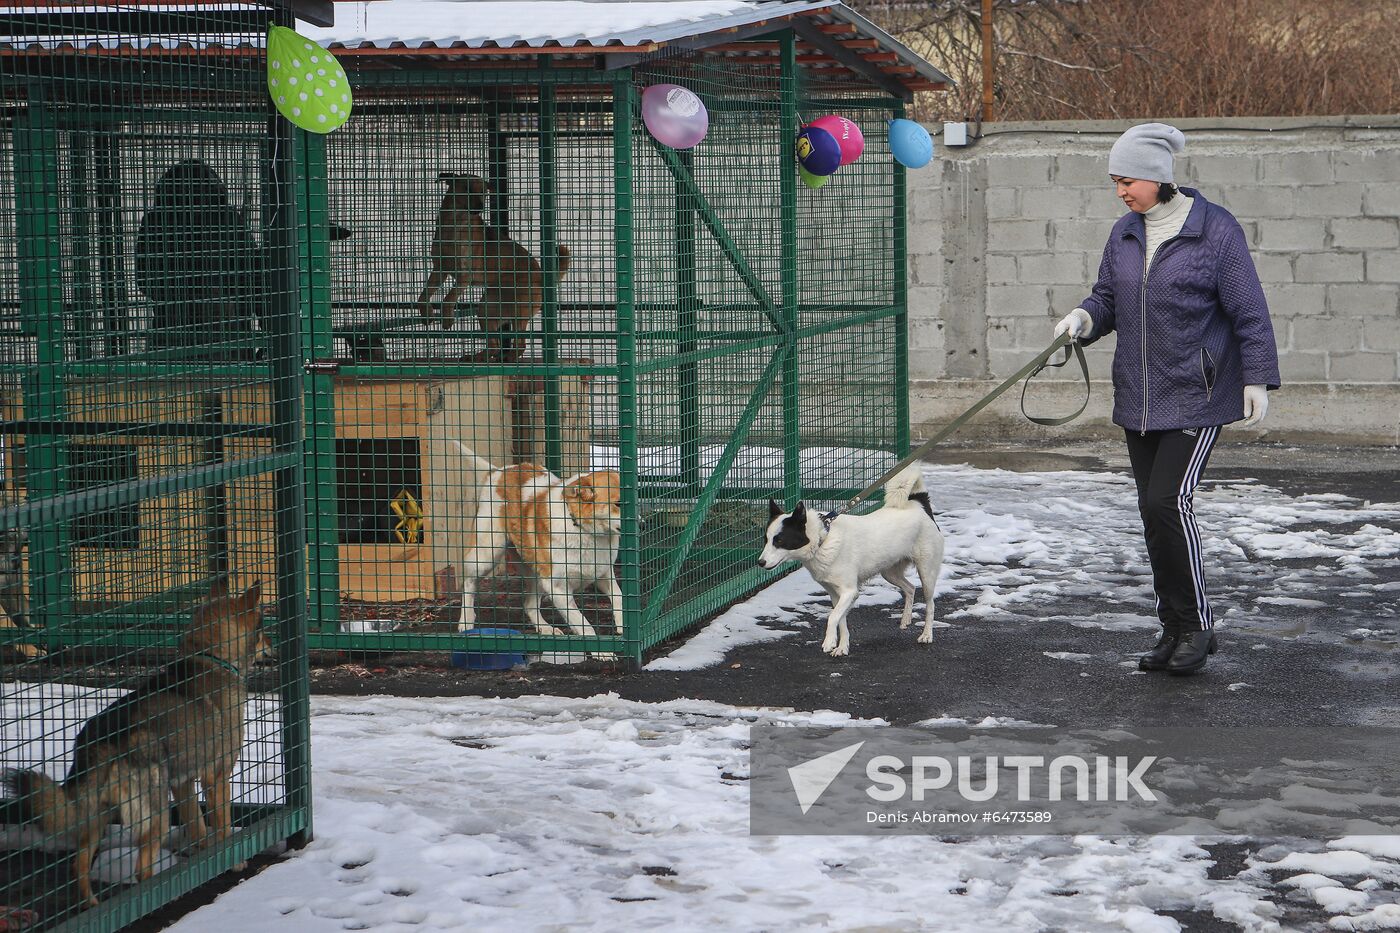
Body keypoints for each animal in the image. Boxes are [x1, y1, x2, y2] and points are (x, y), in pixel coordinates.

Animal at [411, 172, 571, 361]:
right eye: (466, 188)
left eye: (483, 192)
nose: (480, 206)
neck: (455, 223)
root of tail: (541, 275)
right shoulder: (440, 269)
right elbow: (424, 294)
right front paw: (427, 313)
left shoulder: (465, 276)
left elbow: (448, 298)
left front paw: (447, 319)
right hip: (487, 308)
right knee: (495, 345)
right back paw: (477, 358)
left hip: (517, 309)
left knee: (520, 345)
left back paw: (507, 360)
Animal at [450, 442, 621, 633]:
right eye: (618, 504)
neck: (583, 530)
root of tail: (497, 472)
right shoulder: (557, 587)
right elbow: (585, 627)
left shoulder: (604, 574)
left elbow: (619, 598)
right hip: (486, 555)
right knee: (468, 584)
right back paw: (465, 622)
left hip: (535, 573)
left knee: (529, 605)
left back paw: (546, 628)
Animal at [761, 462, 946, 652]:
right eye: (766, 540)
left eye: (780, 540)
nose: (760, 562)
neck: (823, 540)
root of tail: (919, 504)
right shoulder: (836, 595)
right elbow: (841, 620)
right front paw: (842, 647)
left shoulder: (850, 591)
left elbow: (832, 617)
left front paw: (829, 642)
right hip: (889, 572)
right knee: (910, 588)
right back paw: (906, 619)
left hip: (927, 573)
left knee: (930, 604)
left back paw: (927, 634)